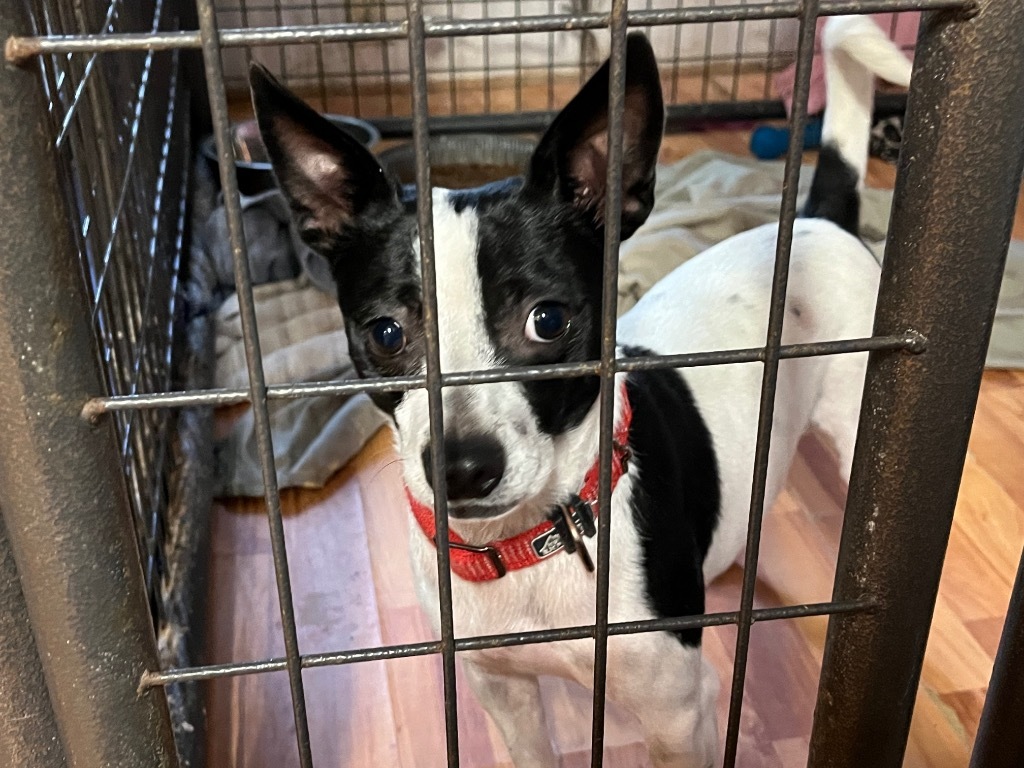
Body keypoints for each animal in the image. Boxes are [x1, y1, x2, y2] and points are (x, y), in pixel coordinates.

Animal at [249, 16, 913, 765]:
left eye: (548, 320)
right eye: (386, 334)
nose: (462, 466)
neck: (530, 546)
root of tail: (818, 218)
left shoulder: (679, 718)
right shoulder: (503, 692)